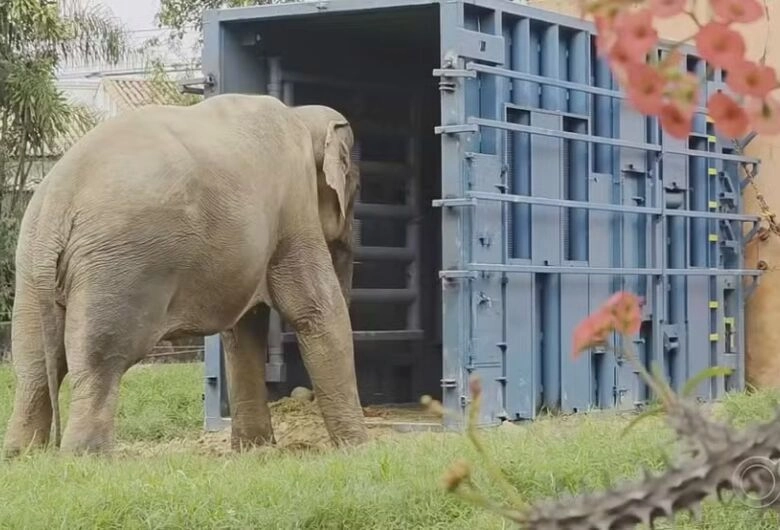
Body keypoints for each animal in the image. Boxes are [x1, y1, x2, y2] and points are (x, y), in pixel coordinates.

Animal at [2, 93, 369, 456]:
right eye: (354, 187)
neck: (300, 116)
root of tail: (55, 205)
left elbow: (244, 327)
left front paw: (254, 451)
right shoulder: (293, 206)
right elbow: (315, 309)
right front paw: (357, 451)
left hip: (32, 268)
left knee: (34, 365)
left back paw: (22, 454)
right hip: (118, 266)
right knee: (99, 360)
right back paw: (87, 459)